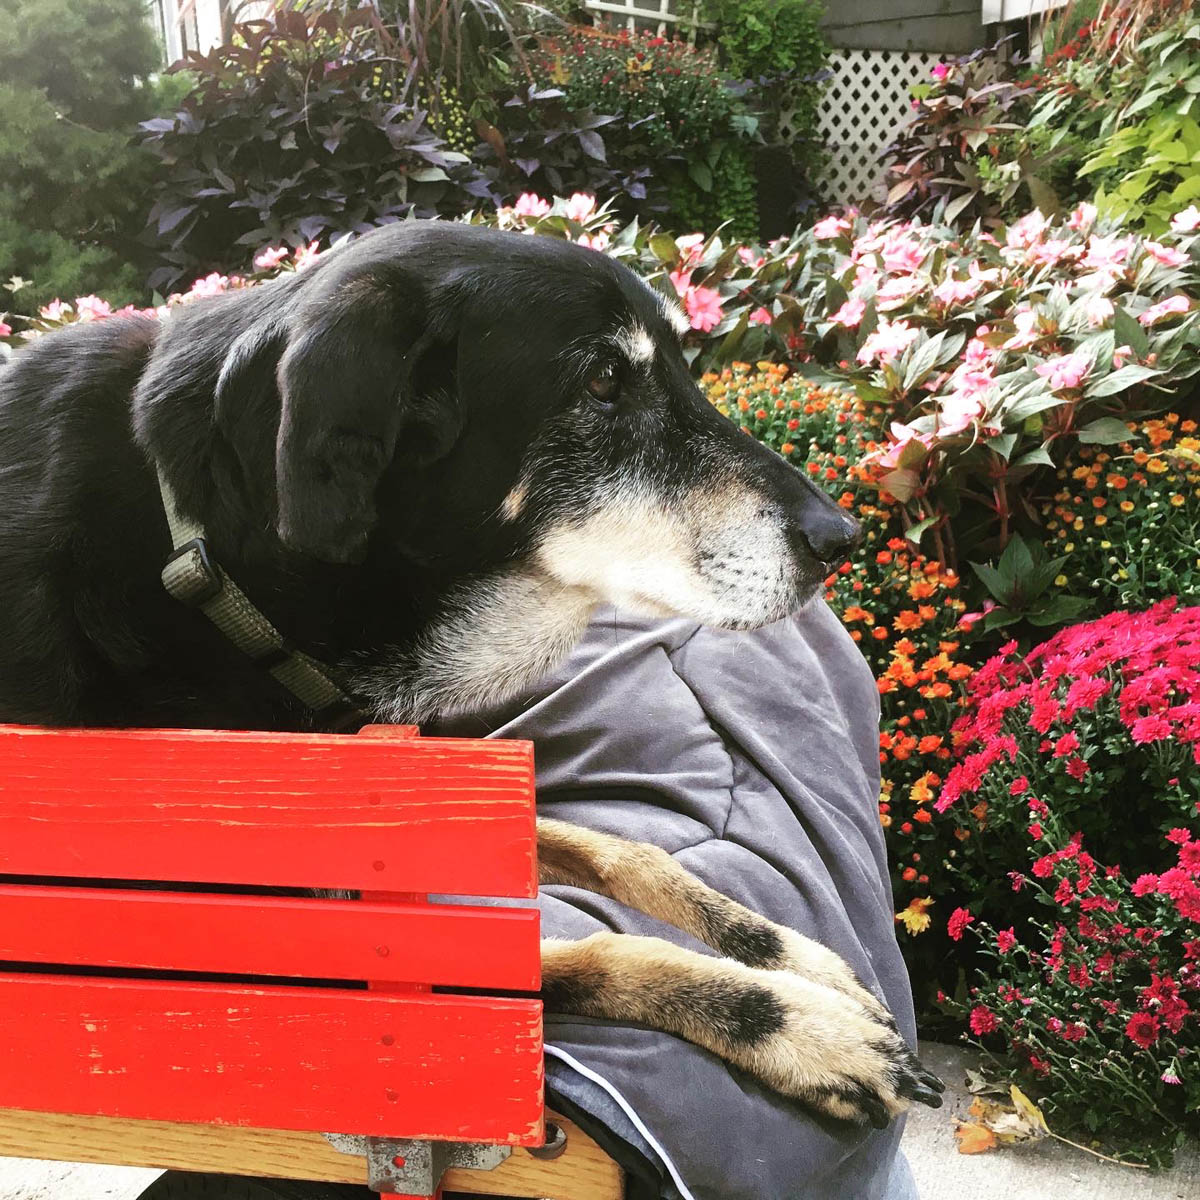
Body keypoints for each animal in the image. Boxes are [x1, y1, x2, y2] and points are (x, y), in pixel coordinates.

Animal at [0, 223, 940, 1123]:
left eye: (682, 366)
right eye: (604, 379)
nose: (843, 538)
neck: (212, 563)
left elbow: (625, 851)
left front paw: (799, 960)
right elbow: (593, 953)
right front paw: (801, 1027)